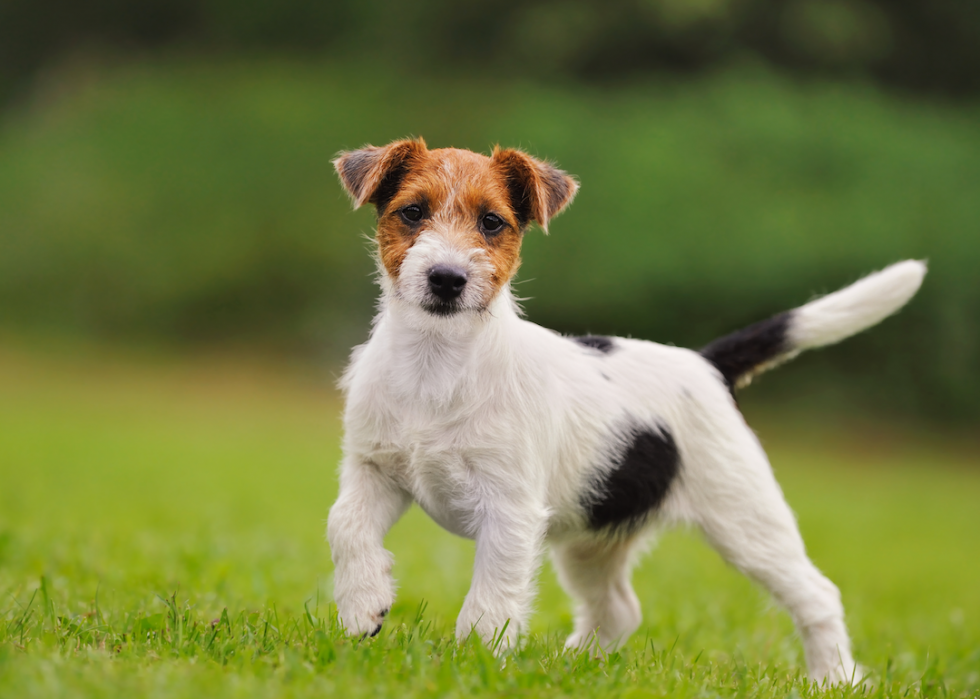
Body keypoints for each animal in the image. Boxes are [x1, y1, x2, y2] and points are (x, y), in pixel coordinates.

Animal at [328, 137, 928, 684]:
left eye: (492, 222)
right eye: (412, 212)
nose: (447, 279)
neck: (437, 362)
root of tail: (704, 363)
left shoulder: (509, 511)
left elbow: (491, 596)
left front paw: (474, 660)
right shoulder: (373, 469)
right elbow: (345, 525)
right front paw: (363, 605)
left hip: (747, 521)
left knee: (817, 595)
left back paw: (835, 677)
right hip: (594, 536)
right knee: (619, 609)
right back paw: (573, 665)